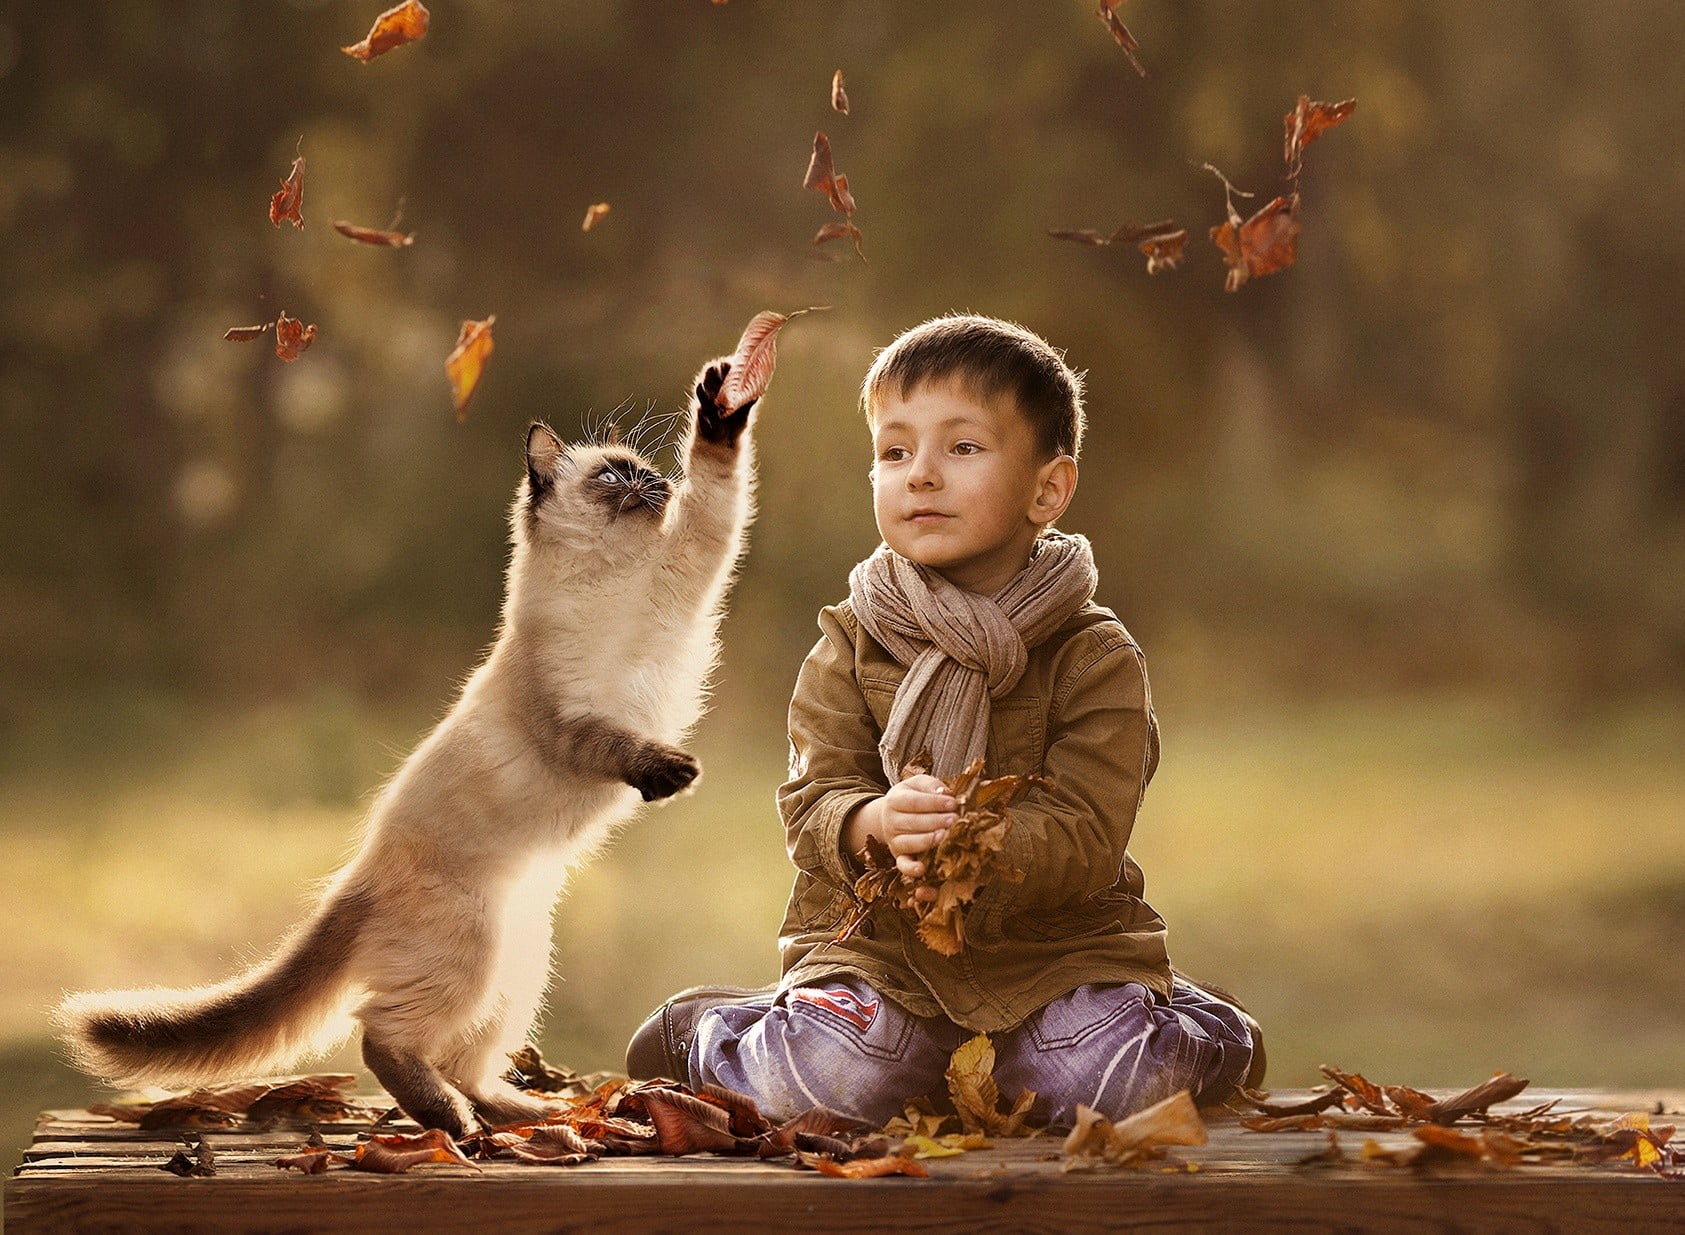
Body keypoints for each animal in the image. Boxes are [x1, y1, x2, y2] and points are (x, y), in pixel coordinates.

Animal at [56, 352, 761, 1132]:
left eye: (649, 472)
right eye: (614, 474)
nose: (657, 485)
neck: (612, 583)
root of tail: (356, 875)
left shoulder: (691, 563)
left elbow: (717, 489)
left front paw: (723, 407)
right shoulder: (569, 722)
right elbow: (616, 743)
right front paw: (670, 773)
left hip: (518, 972)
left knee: (463, 1060)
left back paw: (521, 1113)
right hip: (473, 957)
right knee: (381, 1037)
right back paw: (454, 1120)